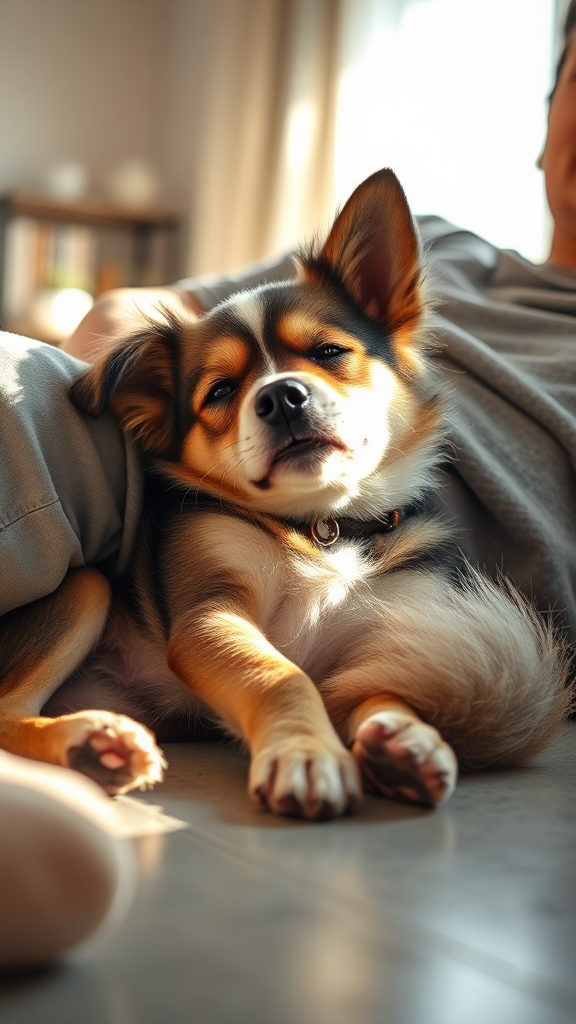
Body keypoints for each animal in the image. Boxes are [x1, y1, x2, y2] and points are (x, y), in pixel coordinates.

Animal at [0, 167, 565, 819]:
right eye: (221, 391)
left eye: (329, 352)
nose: (281, 397)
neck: (325, 527)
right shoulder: (210, 614)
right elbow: (279, 676)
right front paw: (306, 753)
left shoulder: (388, 638)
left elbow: (383, 689)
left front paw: (406, 737)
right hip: (89, 587)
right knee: (7, 716)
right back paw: (92, 740)